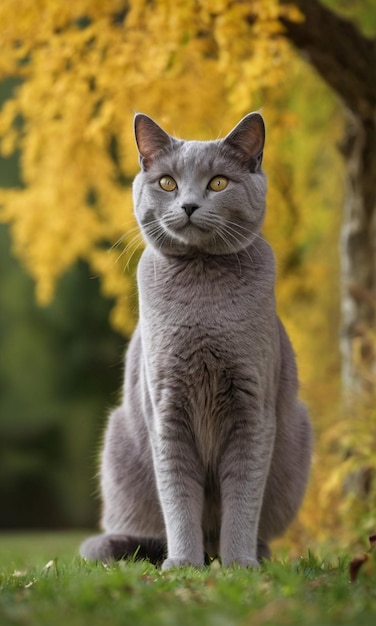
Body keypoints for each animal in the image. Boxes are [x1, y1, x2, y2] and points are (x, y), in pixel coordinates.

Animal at [81, 111, 312, 564]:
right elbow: (177, 494)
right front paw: (183, 564)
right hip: (119, 441)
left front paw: (239, 564)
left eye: (218, 183)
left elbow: (243, 496)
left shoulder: (253, 407)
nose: (188, 204)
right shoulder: (166, 407)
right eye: (167, 183)